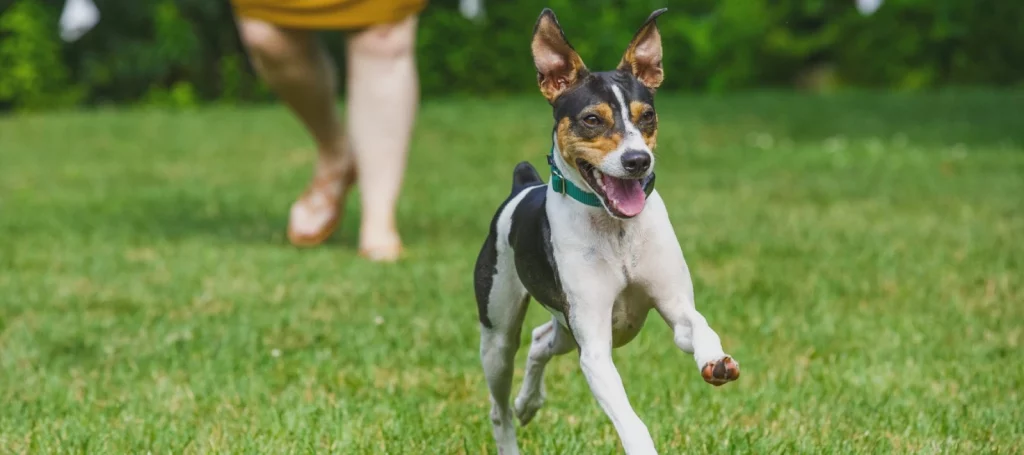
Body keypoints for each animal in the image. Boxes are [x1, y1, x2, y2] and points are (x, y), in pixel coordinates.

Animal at [475, 7, 741, 455]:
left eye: (647, 115)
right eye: (591, 119)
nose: (637, 160)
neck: (616, 231)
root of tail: (522, 184)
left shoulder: (674, 308)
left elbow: (698, 326)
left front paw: (715, 359)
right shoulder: (595, 349)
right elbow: (630, 421)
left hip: (565, 328)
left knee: (541, 340)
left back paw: (530, 402)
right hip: (498, 334)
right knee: (500, 406)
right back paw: (514, 419)